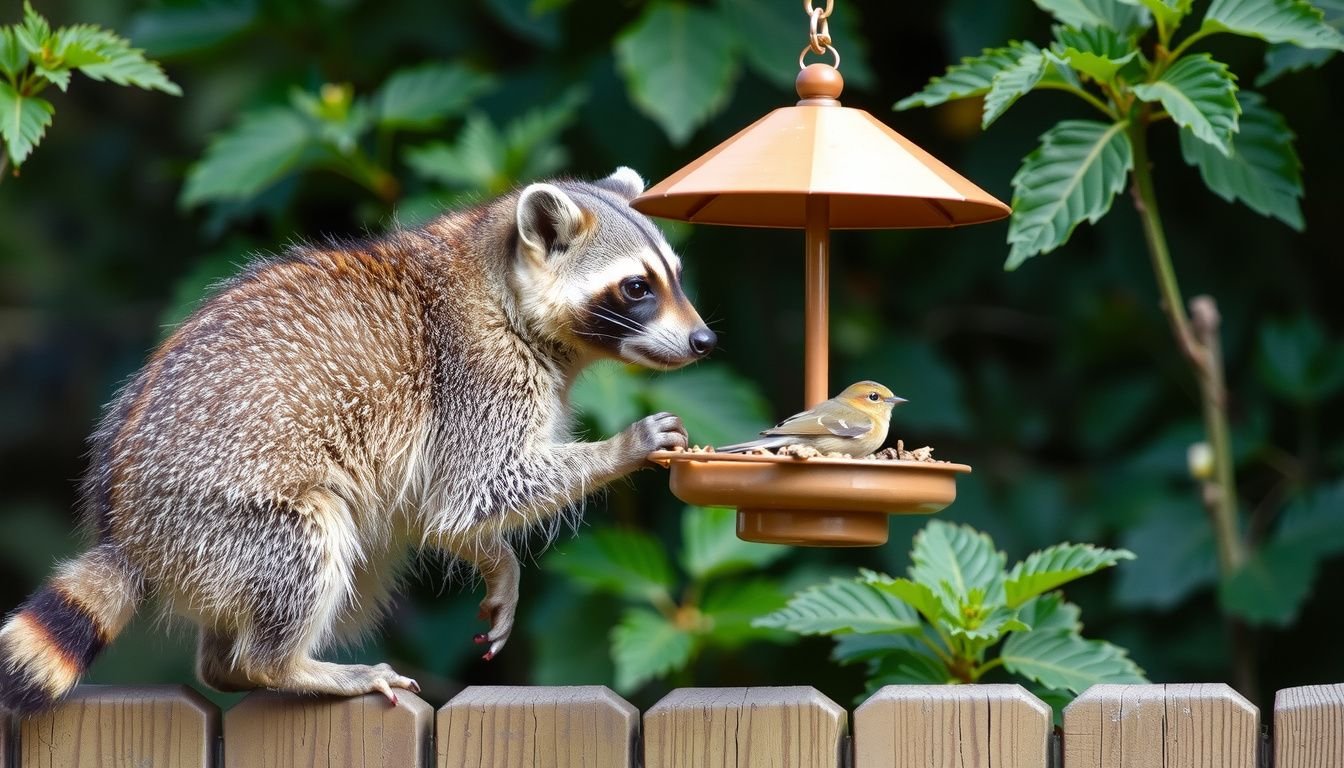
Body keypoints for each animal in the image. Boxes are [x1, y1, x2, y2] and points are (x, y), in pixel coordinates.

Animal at [0, 167, 715, 712]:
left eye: (677, 275)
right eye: (637, 287)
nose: (705, 340)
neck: (498, 273)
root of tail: (124, 526)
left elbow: (446, 515)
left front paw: (497, 561)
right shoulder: (474, 378)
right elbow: (474, 488)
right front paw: (623, 448)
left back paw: (228, 663)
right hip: (221, 509)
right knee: (311, 535)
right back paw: (280, 664)